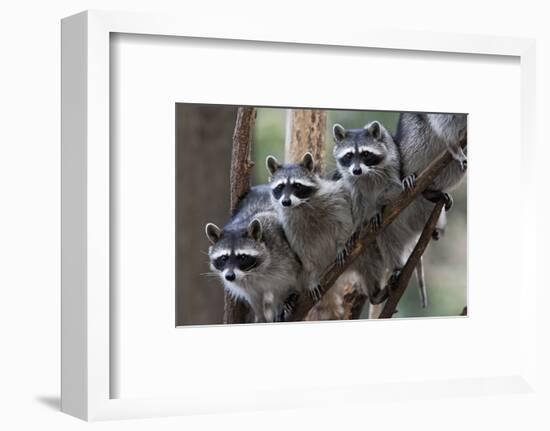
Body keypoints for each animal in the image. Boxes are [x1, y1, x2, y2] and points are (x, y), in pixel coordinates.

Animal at [206, 186, 302, 324]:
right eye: (224, 258)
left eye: (242, 257)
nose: (230, 276)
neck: (253, 272)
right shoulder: (245, 283)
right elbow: (254, 298)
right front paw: (260, 316)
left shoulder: (283, 256)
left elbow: (285, 284)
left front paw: (281, 303)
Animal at [332, 121, 426, 310]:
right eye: (349, 155)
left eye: (366, 154)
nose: (357, 170)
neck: (366, 174)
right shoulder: (351, 181)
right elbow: (355, 200)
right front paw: (357, 225)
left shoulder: (391, 165)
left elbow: (393, 189)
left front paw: (377, 208)